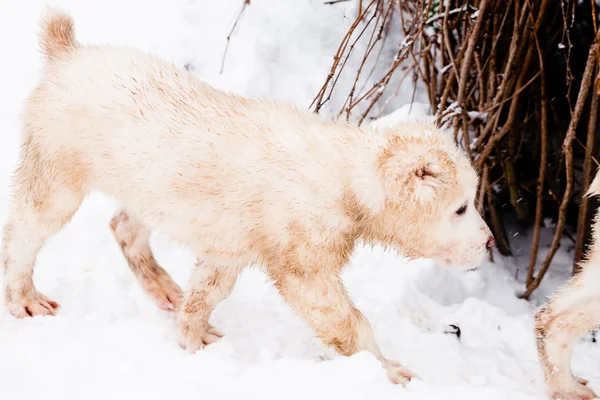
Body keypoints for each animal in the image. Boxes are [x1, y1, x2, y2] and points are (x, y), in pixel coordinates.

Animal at [1, 8, 492, 384]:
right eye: (460, 207)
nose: (488, 243)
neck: (345, 177)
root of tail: (66, 53)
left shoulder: (228, 247)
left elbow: (209, 291)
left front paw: (193, 335)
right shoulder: (303, 265)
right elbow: (346, 322)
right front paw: (388, 372)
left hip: (146, 186)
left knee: (123, 224)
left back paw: (164, 290)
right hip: (57, 166)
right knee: (25, 230)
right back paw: (24, 299)